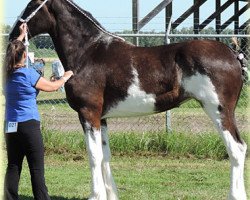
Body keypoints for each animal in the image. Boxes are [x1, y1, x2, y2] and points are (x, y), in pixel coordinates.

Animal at [8, 0, 247, 199]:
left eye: (32, 5)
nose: (13, 34)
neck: (88, 52)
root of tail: (232, 54)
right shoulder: (101, 118)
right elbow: (105, 155)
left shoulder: (88, 113)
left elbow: (94, 155)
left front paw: (95, 195)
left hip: (218, 110)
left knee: (236, 149)